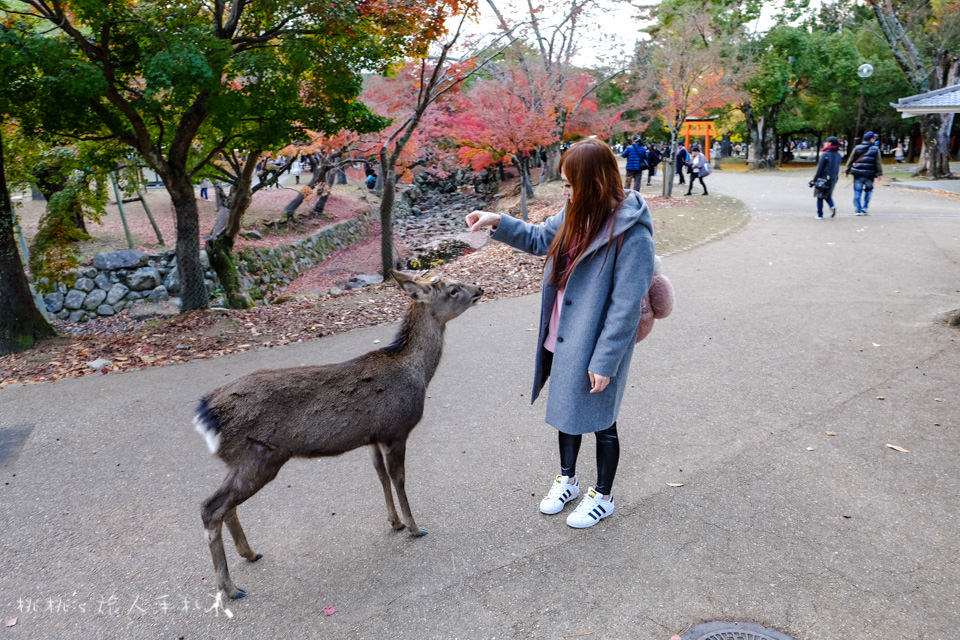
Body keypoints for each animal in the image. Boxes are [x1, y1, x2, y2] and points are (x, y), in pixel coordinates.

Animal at [195, 268, 484, 596]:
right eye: (452, 289)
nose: (480, 289)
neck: (418, 374)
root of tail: (205, 414)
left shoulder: (373, 437)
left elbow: (380, 476)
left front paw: (394, 522)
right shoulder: (396, 429)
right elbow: (399, 478)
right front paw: (414, 526)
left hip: (242, 461)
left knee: (226, 506)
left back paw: (249, 553)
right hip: (258, 457)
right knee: (211, 507)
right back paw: (229, 586)